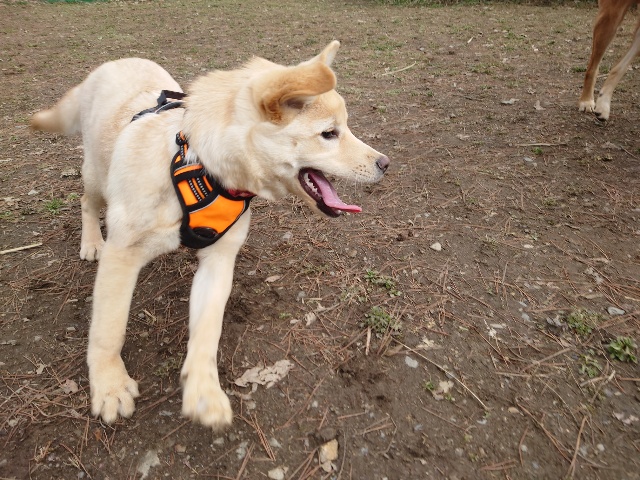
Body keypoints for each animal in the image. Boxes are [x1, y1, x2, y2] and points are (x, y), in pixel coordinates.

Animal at [31, 41, 389, 429]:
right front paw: (110, 385)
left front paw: (203, 390)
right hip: (97, 175)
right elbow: (108, 328)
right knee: (86, 202)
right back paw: (91, 241)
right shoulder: (122, 255)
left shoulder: (219, 260)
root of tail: (111, 64)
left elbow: (207, 330)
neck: (201, 168)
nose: (385, 164)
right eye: (329, 134)